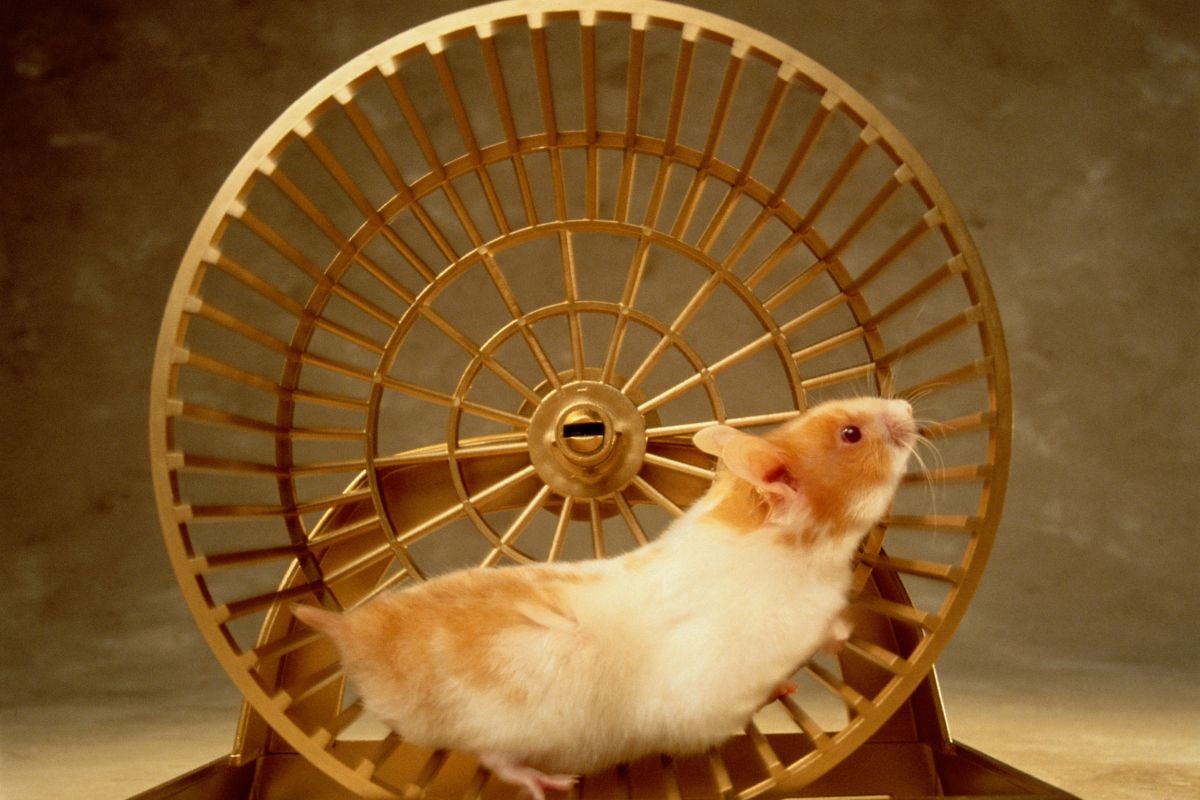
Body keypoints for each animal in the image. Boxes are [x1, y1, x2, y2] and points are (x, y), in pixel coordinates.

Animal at [293, 397, 918, 799]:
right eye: (851, 434)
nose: (909, 406)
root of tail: (352, 631)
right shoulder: (726, 684)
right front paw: (820, 650)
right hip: (498, 727)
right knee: (495, 758)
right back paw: (550, 782)